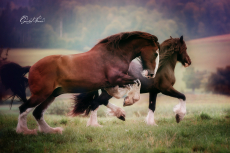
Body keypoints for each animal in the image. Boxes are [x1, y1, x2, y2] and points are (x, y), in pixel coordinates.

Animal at [2, 31, 160, 134]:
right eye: (156, 53)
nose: (151, 74)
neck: (114, 55)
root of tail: (32, 67)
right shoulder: (116, 78)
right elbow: (136, 82)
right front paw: (129, 101)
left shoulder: (111, 82)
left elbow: (110, 94)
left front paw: (120, 111)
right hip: (41, 94)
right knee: (24, 108)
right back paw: (24, 131)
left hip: (52, 95)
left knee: (37, 112)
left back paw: (51, 131)